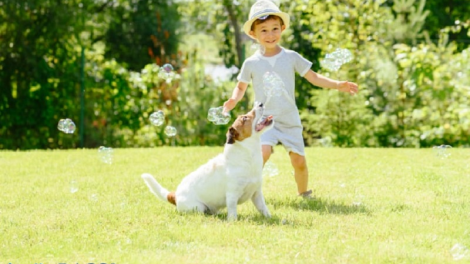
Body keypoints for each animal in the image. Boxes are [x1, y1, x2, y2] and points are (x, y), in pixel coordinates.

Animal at [143, 102, 276, 220]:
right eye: (244, 118)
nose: (261, 104)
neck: (247, 155)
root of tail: (175, 195)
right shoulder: (232, 195)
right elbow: (232, 211)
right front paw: (232, 221)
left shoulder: (257, 193)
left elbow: (263, 208)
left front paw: (269, 218)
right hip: (198, 208)